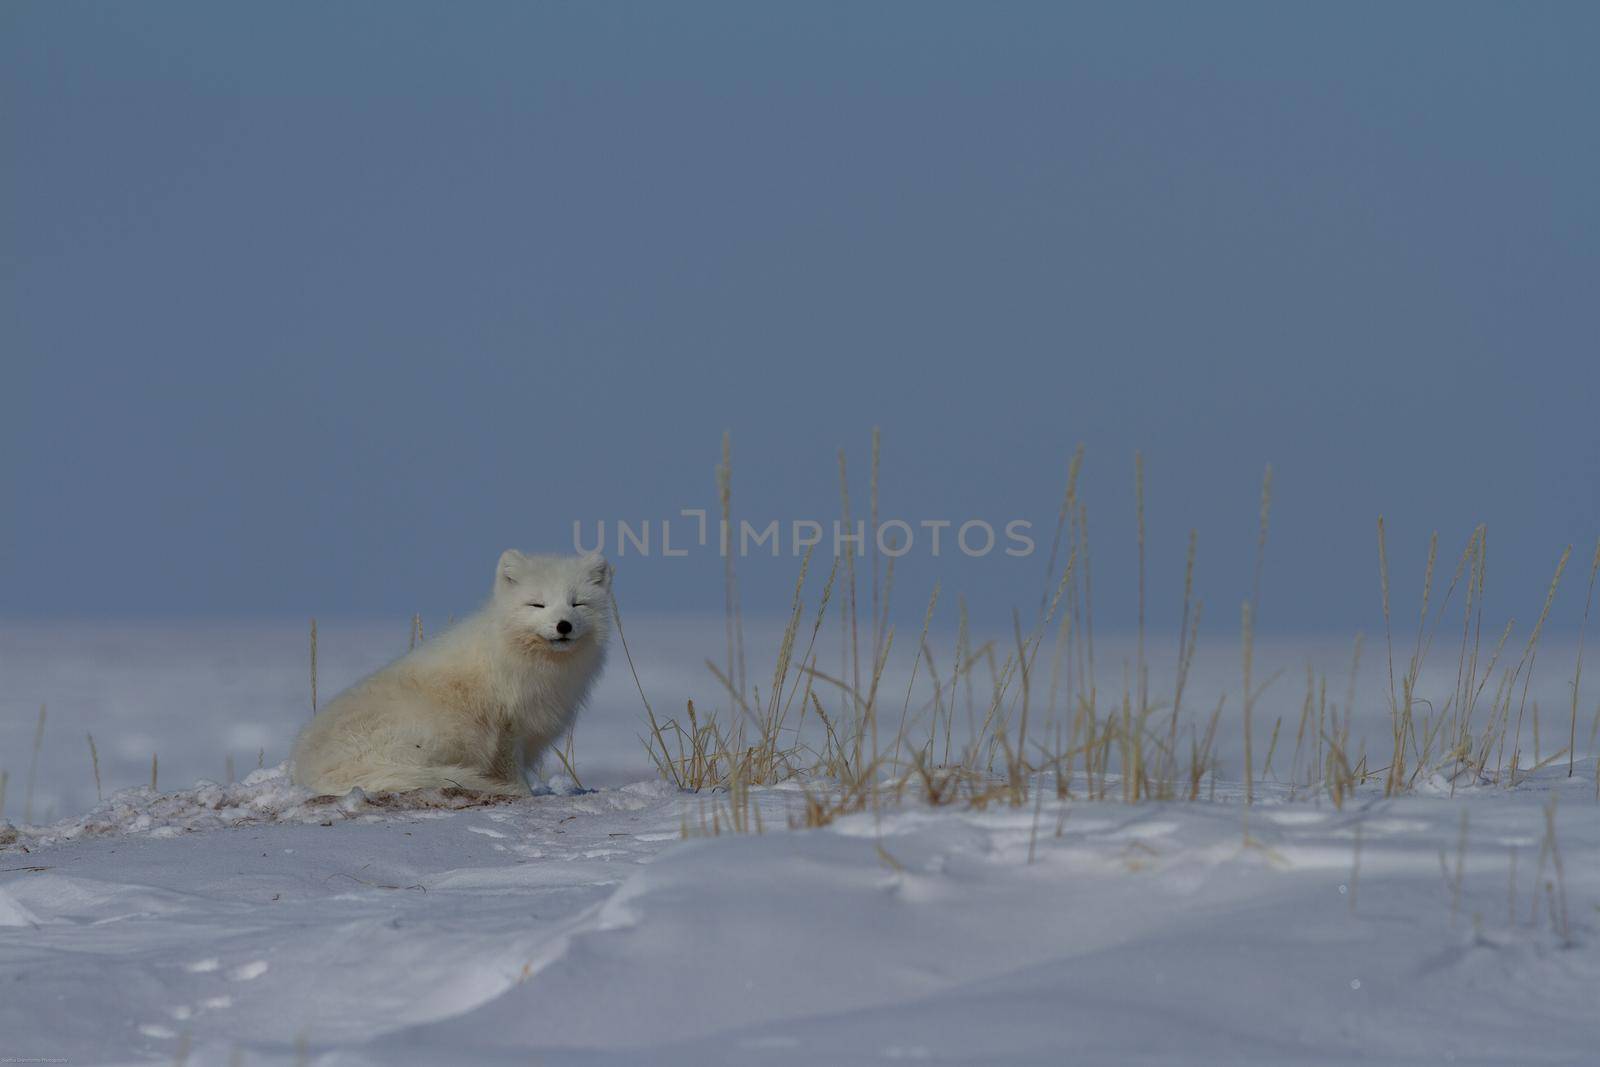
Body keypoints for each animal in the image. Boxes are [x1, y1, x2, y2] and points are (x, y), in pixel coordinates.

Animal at [291, 556, 608, 796]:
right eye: (537, 604)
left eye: (578, 604)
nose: (563, 625)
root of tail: (312, 768)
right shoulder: (505, 725)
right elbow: (509, 771)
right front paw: (523, 794)